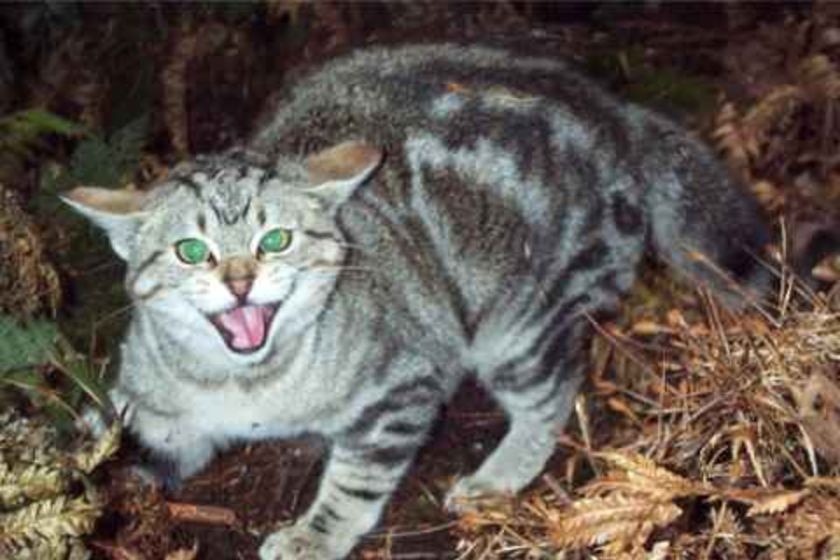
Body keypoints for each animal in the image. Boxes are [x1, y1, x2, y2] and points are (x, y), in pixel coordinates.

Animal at [65, 44, 772, 560]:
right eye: (191, 251)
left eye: (276, 240)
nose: (240, 281)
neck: (248, 389)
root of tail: (617, 114)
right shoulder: (148, 410)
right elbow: (99, 443)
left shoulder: (401, 385)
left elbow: (355, 481)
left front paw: (313, 536)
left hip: (520, 325)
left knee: (552, 393)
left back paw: (497, 476)